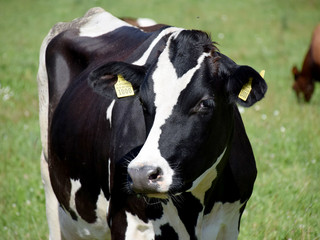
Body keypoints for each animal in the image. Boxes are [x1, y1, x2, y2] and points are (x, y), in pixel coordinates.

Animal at [38, 7, 268, 240]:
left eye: (205, 103)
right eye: (142, 101)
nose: (141, 174)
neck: (194, 209)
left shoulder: (228, 223)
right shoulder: (127, 222)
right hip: (50, 180)